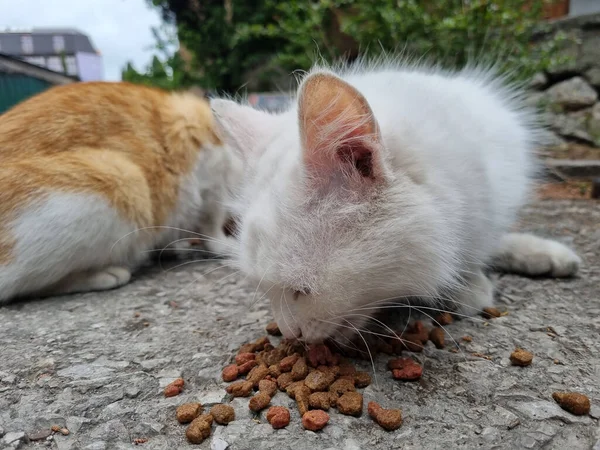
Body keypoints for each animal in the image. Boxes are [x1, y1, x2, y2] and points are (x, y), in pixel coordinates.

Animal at [0, 82, 239, 304]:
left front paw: (170, 248)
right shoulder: (214, 175)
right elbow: (212, 224)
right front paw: (225, 245)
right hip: (124, 180)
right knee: (18, 286)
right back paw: (105, 274)